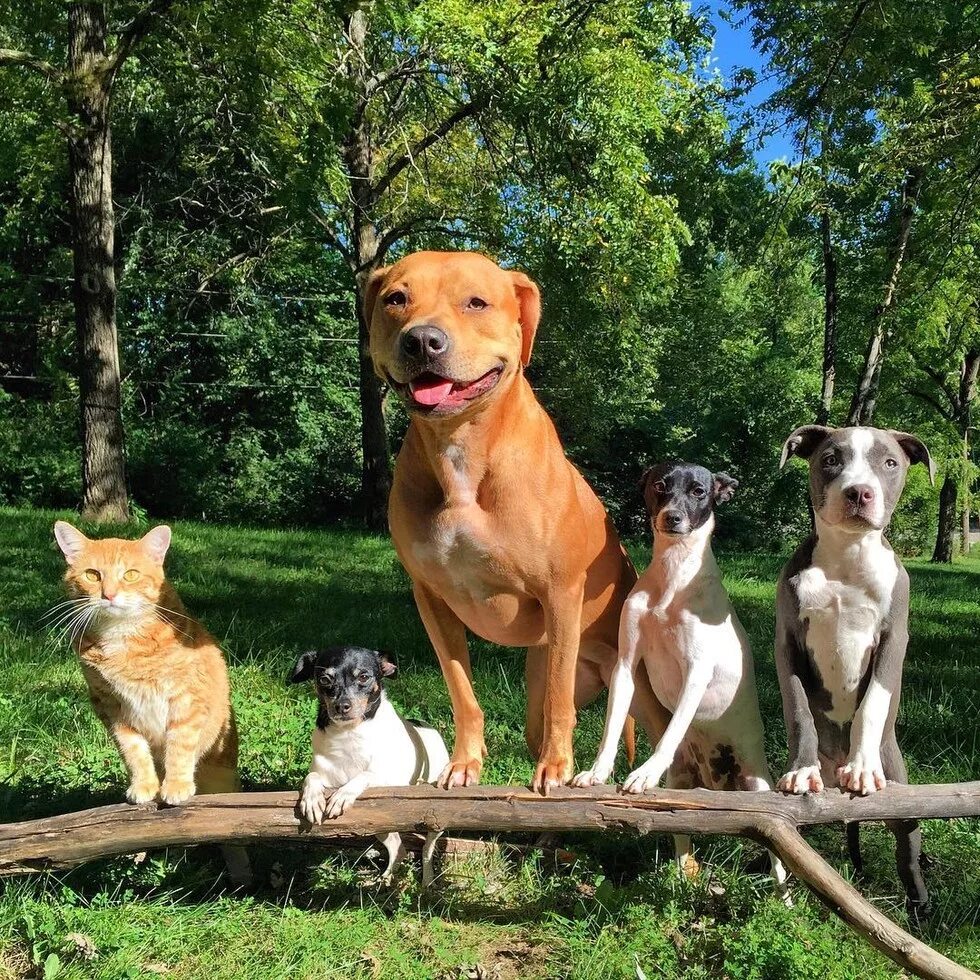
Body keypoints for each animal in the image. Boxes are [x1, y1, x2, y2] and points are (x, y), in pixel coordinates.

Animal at [54, 520, 241, 804]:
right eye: (92, 575)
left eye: (130, 575)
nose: (109, 595)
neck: (122, 638)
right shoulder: (112, 707)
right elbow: (133, 751)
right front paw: (144, 785)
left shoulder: (186, 699)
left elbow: (179, 746)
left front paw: (176, 784)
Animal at [288, 648, 448, 884]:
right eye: (324, 679)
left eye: (363, 677)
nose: (341, 706)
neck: (349, 734)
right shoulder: (323, 771)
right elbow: (312, 777)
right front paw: (312, 799)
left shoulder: (390, 783)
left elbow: (366, 774)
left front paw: (342, 794)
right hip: (377, 822)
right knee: (398, 847)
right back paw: (386, 880)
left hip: (433, 820)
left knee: (427, 850)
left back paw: (427, 882)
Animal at [364, 251, 668, 788]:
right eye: (395, 298)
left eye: (476, 302)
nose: (422, 340)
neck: (461, 446)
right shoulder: (431, 599)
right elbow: (462, 691)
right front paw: (465, 762)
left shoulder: (561, 592)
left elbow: (559, 702)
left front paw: (556, 767)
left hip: (638, 687)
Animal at [772, 424, 936, 916]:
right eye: (831, 459)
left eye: (890, 463)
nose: (859, 492)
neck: (846, 557)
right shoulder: (787, 644)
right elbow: (800, 710)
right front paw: (801, 769)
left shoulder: (893, 641)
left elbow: (872, 704)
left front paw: (861, 766)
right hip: (797, 822)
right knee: (789, 844)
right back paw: (785, 894)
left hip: (902, 798)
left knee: (907, 848)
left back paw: (919, 904)